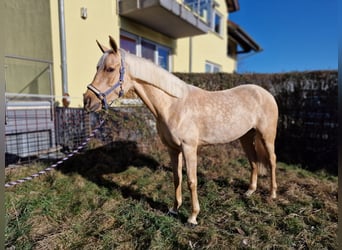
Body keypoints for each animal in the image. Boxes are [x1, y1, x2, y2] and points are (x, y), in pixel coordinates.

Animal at [83, 36, 278, 226]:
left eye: (110, 69)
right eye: (97, 67)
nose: (87, 100)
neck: (173, 105)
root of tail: (266, 93)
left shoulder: (189, 148)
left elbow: (192, 181)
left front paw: (193, 217)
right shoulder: (172, 148)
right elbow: (177, 177)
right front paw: (174, 209)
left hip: (267, 137)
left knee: (272, 160)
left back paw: (272, 194)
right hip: (246, 137)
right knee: (253, 161)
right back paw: (249, 191)